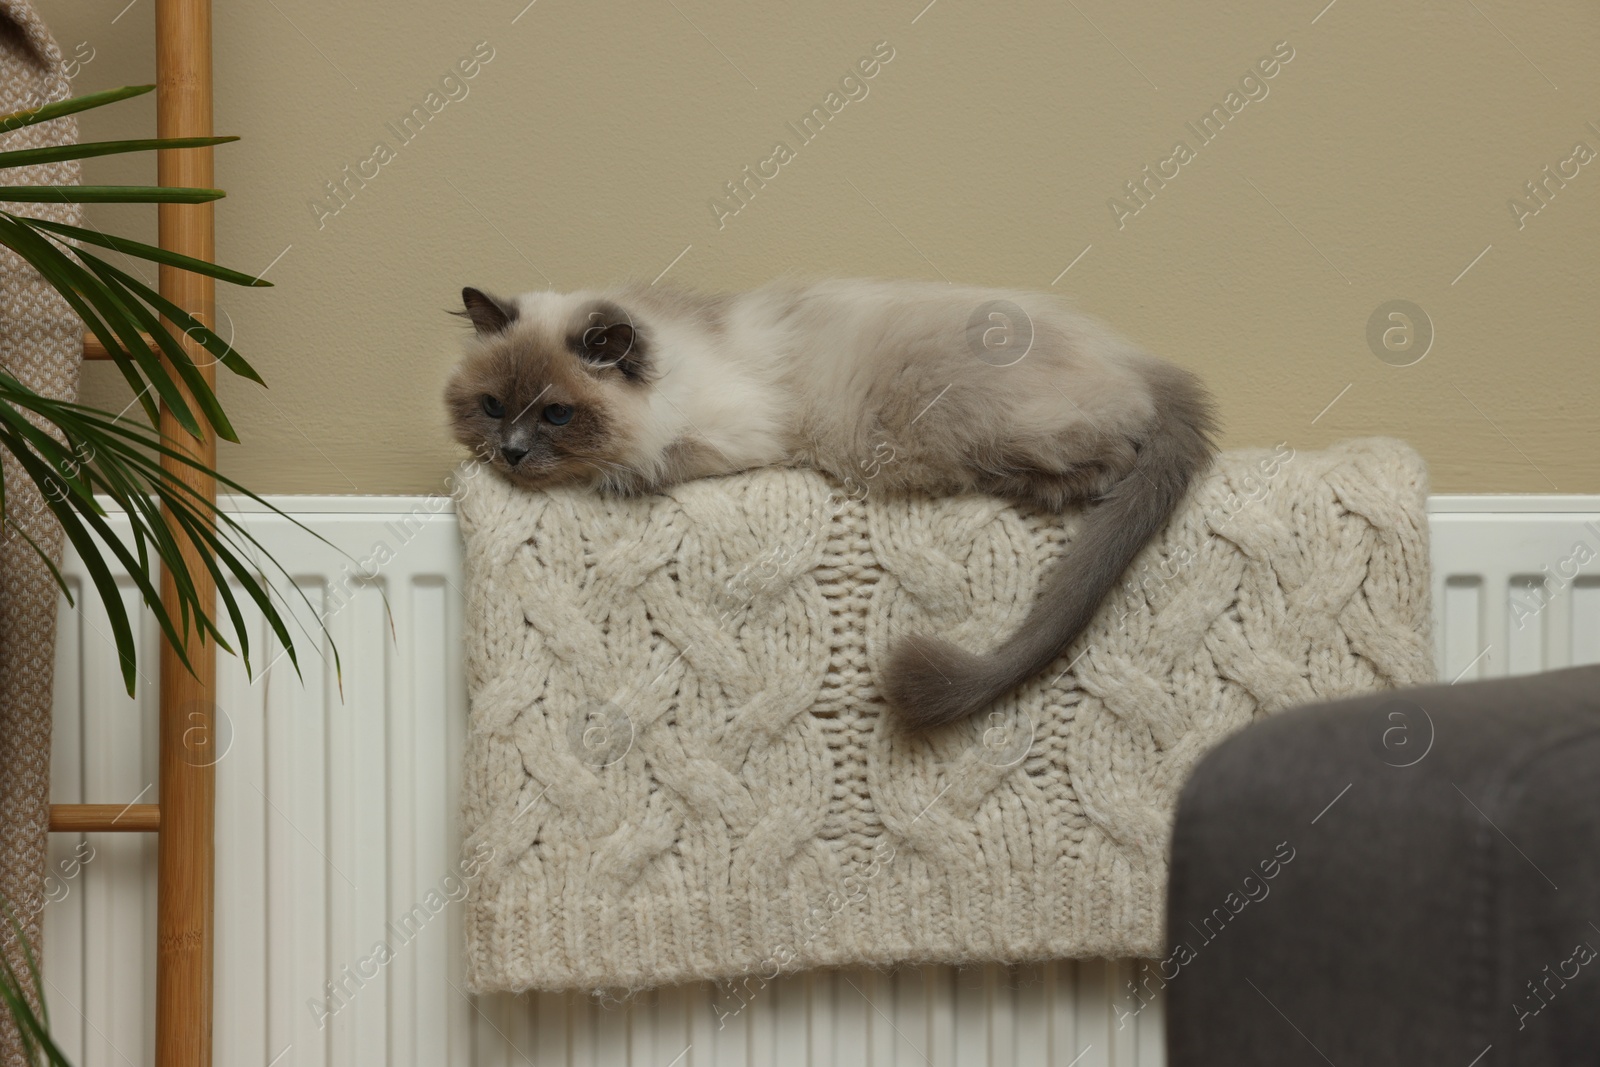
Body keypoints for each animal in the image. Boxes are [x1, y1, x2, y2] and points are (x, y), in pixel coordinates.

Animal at [444, 279, 1216, 729]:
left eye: (557, 415)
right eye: (493, 406)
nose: (511, 453)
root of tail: (1135, 355)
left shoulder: (725, 440)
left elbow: (633, 468)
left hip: (970, 421)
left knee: (1112, 455)